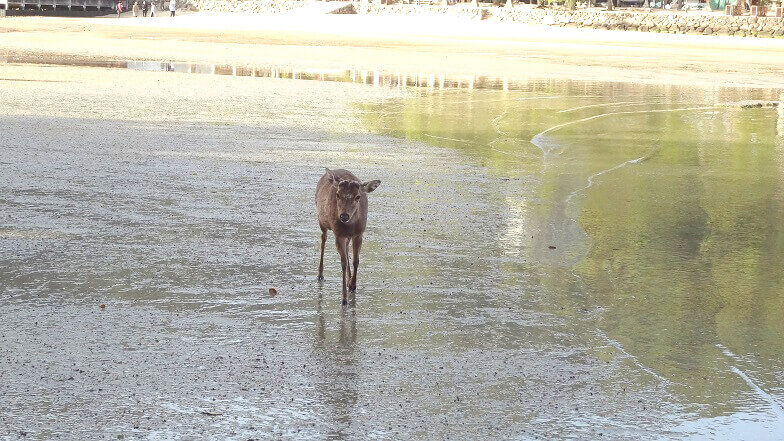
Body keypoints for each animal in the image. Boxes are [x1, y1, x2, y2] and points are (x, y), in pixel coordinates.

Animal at [316, 167, 382, 304]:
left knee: (346, 247)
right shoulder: (338, 234)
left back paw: (349, 279)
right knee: (323, 240)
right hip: (321, 221)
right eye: (337, 194)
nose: (344, 216)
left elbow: (356, 261)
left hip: (348, 236)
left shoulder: (359, 234)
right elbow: (343, 264)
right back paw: (320, 274)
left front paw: (352, 285)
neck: (350, 226)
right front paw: (344, 299)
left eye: (358, 196)